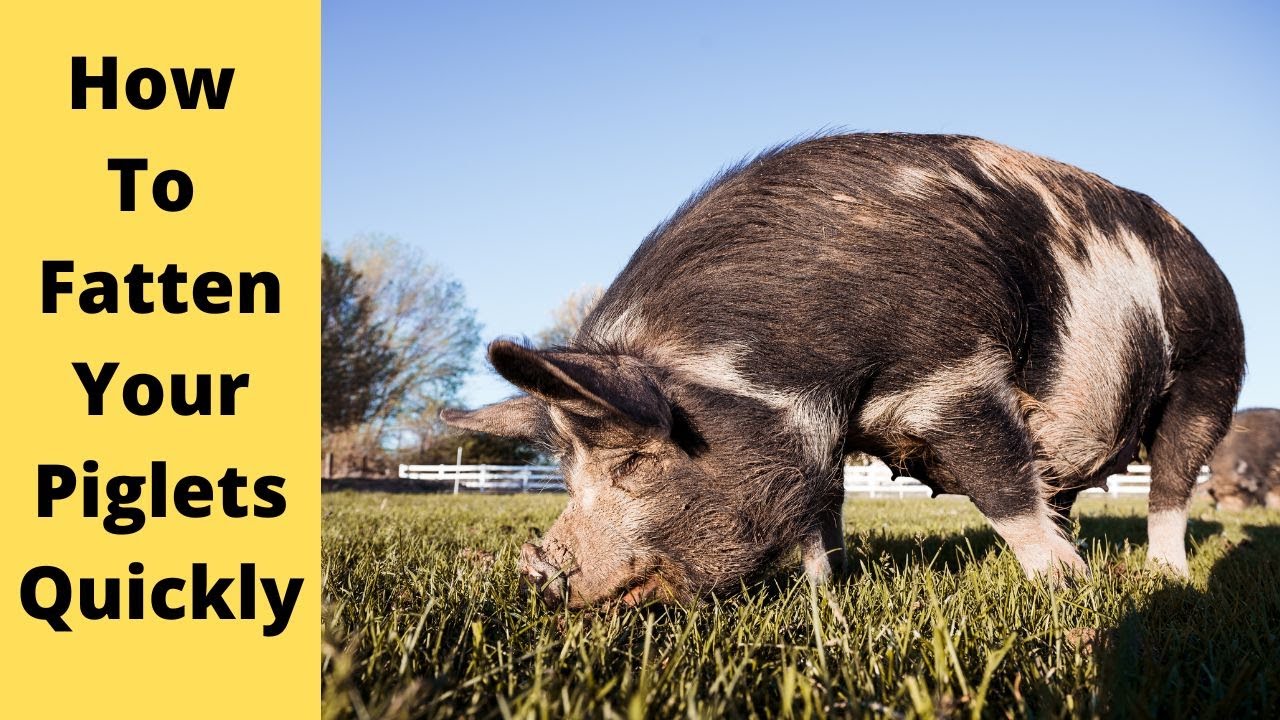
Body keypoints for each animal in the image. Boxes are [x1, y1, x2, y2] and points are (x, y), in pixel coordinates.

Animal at [443, 133, 1244, 607]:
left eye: (634, 463)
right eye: (565, 471)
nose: (538, 572)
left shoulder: (954, 379)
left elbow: (1001, 488)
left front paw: (1064, 590)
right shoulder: (821, 427)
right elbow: (820, 510)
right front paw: (826, 593)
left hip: (1211, 375)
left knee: (1171, 484)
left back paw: (1165, 578)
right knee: (1066, 491)